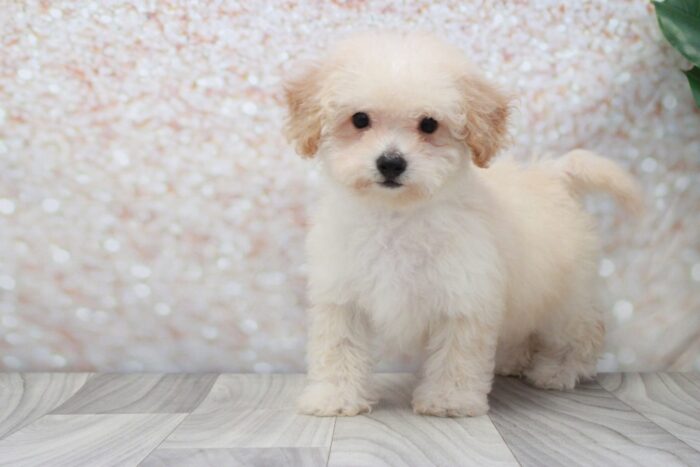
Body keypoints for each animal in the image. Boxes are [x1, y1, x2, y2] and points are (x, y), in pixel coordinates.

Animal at [284, 33, 640, 420]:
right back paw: (514, 362)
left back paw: (559, 371)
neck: (397, 215)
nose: (391, 163)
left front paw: (448, 400)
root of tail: (552, 175)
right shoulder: (342, 296)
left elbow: (457, 353)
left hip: (564, 296)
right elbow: (338, 347)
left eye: (428, 124)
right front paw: (334, 397)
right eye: (360, 119)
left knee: (584, 330)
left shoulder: (464, 295)